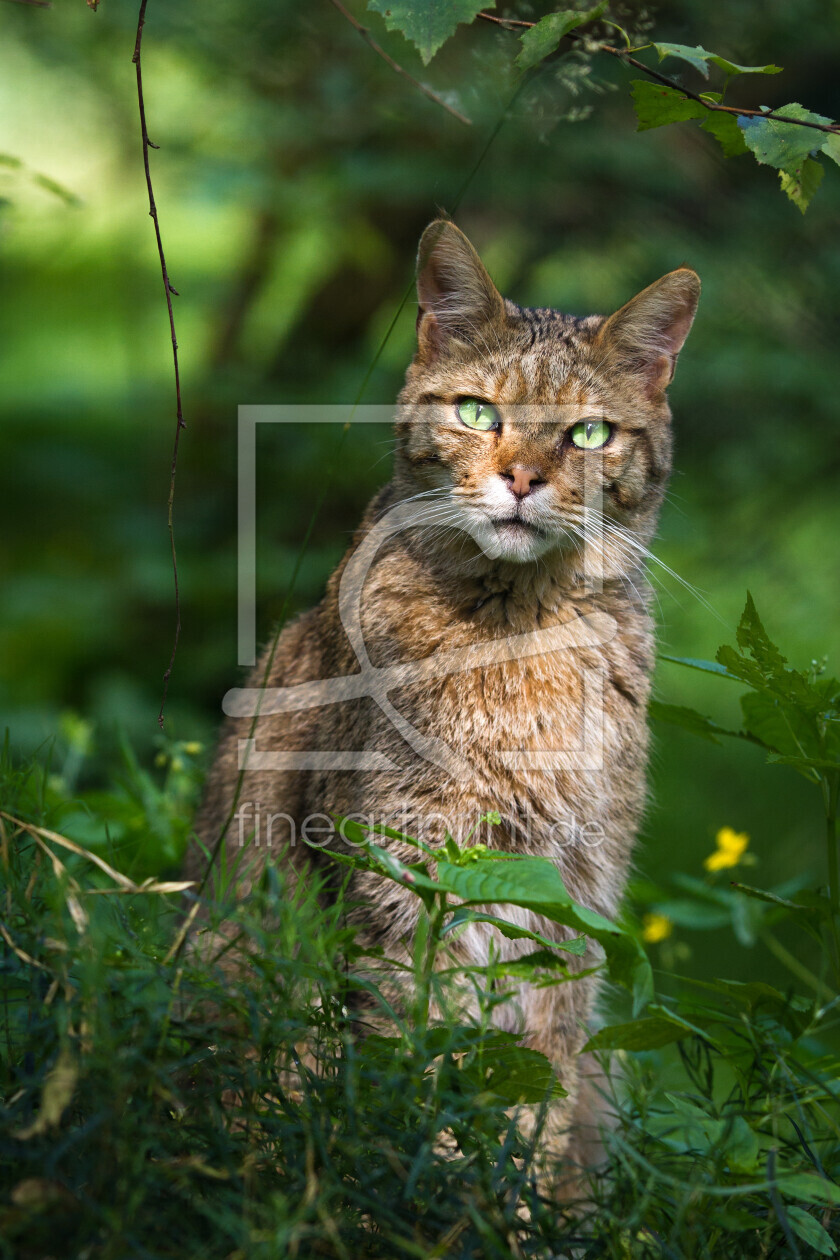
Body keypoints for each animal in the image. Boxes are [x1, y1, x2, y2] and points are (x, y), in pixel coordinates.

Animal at [188, 219, 695, 1179]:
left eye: (588, 433)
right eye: (477, 413)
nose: (523, 479)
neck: (519, 627)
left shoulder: (572, 908)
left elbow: (535, 1107)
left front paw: (516, 1204)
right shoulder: (401, 890)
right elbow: (418, 1080)